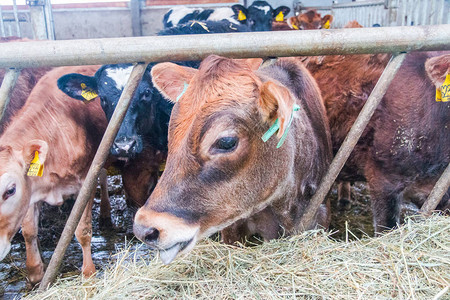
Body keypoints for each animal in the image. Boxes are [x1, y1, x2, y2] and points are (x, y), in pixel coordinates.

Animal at [0, 65, 107, 284]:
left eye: (10, 190)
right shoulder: (31, 189)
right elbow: (29, 231)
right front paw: (35, 274)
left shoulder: (87, 180)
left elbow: (82, 230)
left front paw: (89, 274)